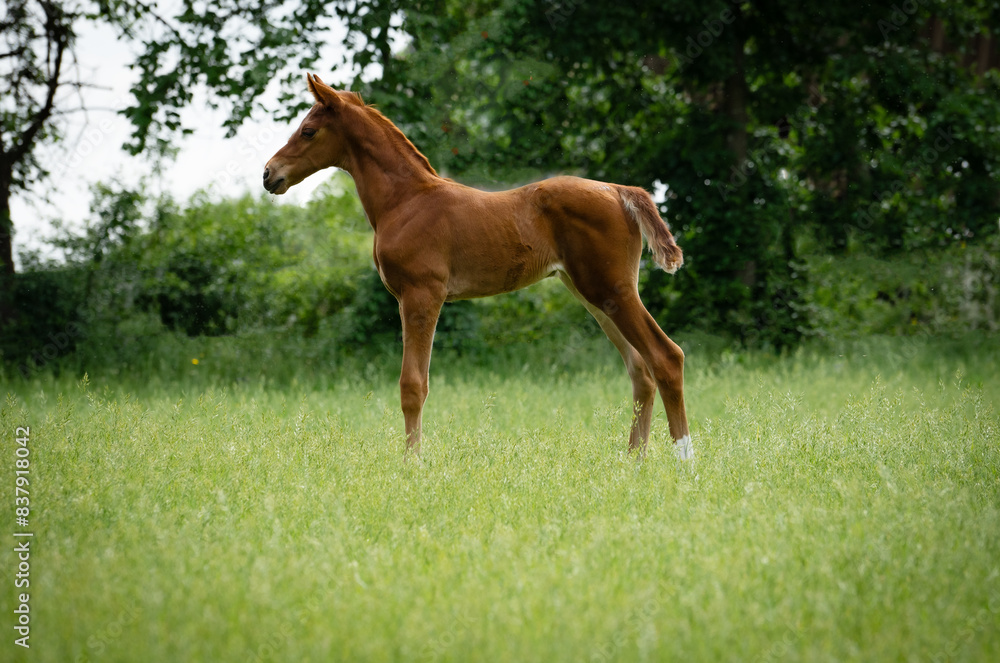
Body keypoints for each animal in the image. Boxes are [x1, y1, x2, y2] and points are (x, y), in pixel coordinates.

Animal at [264, 73, 693, 460]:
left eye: (308, 131)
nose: (269, 174)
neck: (405, 201)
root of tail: (620, 191)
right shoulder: (409, 299)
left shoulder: (422, 295)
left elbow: (413, 385)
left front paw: (411, 464)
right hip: (594, 295)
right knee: (640, 371)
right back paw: (632, 463)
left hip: (612, 290)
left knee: (666, 358)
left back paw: (684, 463)